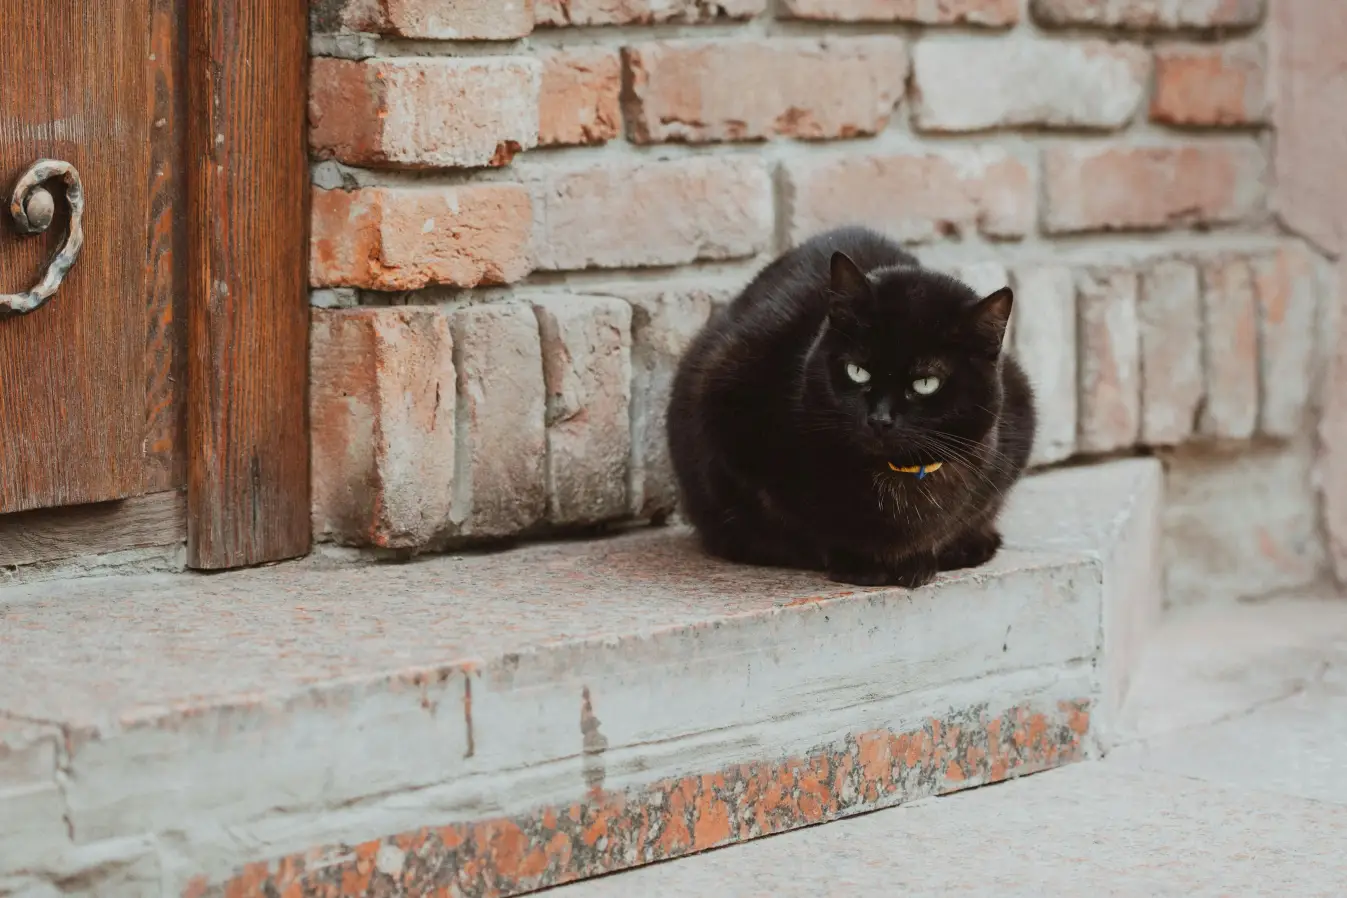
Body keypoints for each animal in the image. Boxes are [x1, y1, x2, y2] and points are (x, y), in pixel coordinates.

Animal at [668, 226, 1034, 589]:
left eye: (926, 383)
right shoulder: (724, 410)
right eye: (857, 371)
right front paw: (862, 563)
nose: (880, 419)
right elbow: (803, 525)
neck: (897, 479)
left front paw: (923, 558)